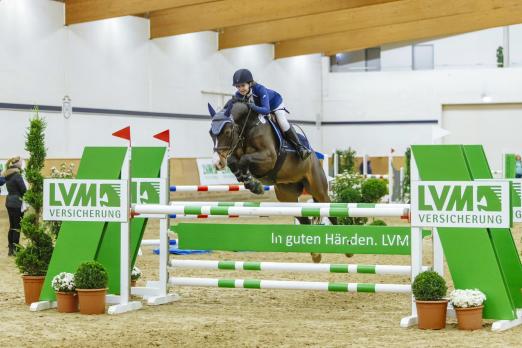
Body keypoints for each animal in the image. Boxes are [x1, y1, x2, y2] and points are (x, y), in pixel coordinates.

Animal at [207, 99, 338, 262]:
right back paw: (315, 254)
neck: (248, 127)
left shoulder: (268, 158)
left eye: (227, 132)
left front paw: (254, 184)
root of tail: (314, 156)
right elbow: (233, 161)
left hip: (318, 189)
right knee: (304, 219)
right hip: (288, 197)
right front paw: (249, 182)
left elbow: (245, 160)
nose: (217, 163)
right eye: (210, 133)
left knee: (330, 210)